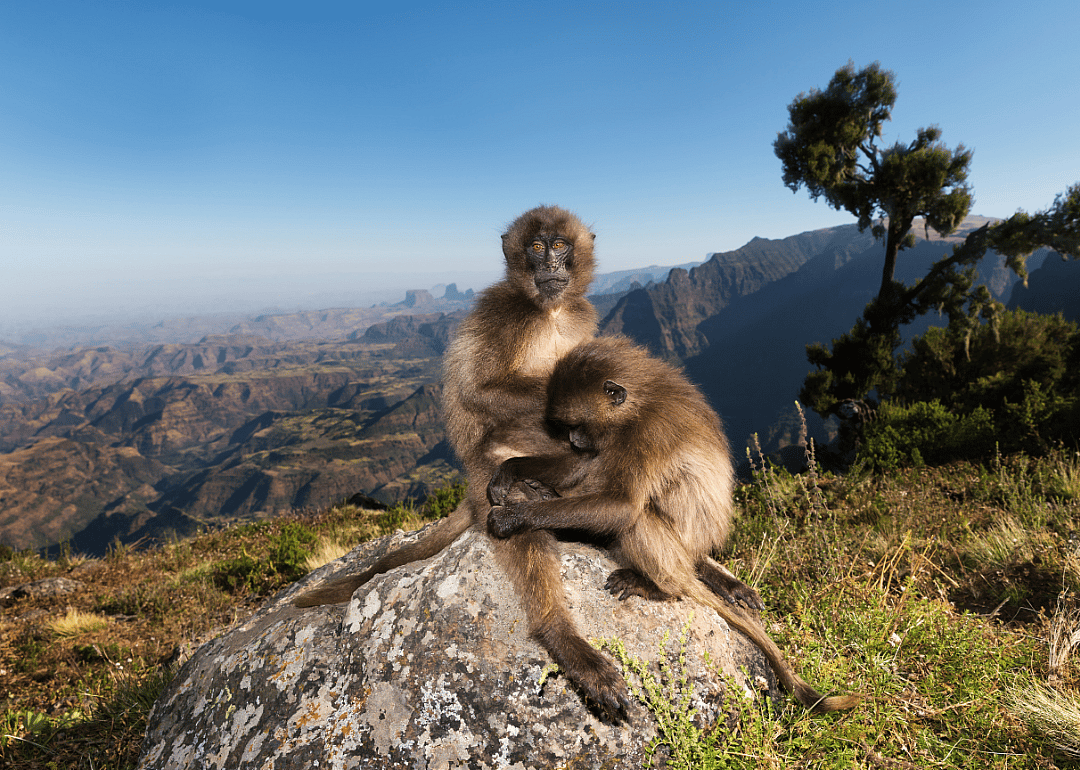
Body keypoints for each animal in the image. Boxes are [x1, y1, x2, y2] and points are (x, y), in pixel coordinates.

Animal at [485, 335, 860, 713]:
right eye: (567, 428)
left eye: (577, 425)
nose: (574, 441)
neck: (639, 405)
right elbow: (578, 468)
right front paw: (511, 472)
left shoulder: (645, 434)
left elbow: (621, 507)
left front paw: (514, 517)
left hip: (677, 549)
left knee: (637, 520)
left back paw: (659, 586)